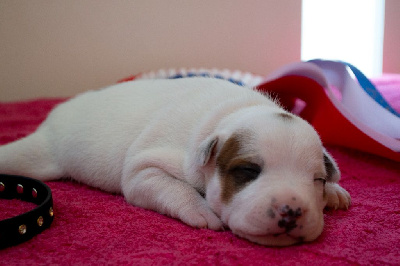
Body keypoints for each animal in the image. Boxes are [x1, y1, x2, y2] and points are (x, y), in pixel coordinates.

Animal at [0, 78, 350, 246]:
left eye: (317, 180)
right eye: (248, 171)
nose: (292, 211)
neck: (231, 113)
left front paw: (335, 193)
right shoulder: (145, 169)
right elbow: (170, 186)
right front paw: (201, 211)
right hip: (41, 154)